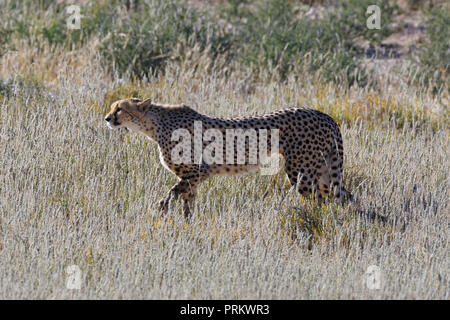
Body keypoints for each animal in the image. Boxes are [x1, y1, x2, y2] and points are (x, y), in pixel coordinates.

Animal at [105, 99, 352, 216]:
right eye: (112, 107)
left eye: (119, 109)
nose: (107, 118)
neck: (155, 124)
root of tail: (324, 114)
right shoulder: (193, 178)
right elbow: (187, 202)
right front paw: (186, 226)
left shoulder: (197, 171)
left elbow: (171, 194)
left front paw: (162, 209)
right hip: (323, 172)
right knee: (341, 197)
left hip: (301, 172)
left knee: (319, 201)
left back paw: (313, 220)